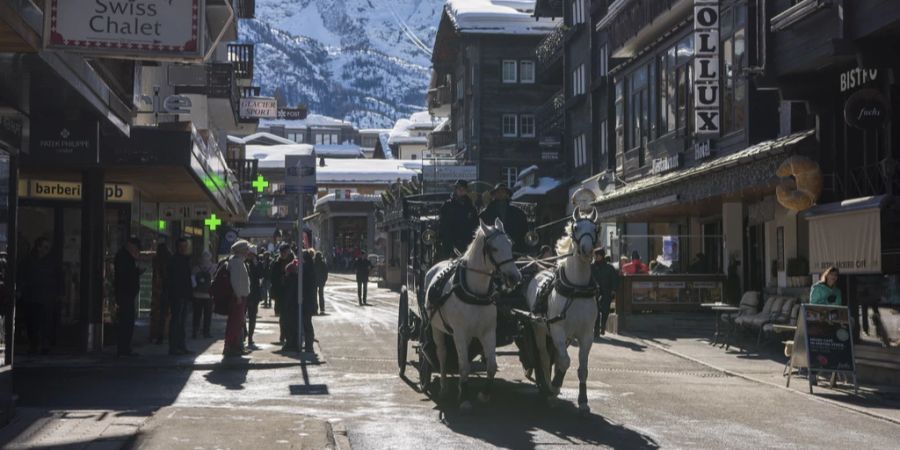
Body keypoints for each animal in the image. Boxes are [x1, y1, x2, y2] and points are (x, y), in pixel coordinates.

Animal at [426, 218, 524, 412]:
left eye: (510, 243)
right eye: (493, 248)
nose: (514, 277)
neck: (475, 292)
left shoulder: (488, 332)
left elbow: (491, 366)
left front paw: (484, 394)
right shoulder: (460, 332)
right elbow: (463, 367)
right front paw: (464, 399)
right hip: (436, 328)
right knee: (442, 354)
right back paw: (443, 387)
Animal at [528, 209, 596, 414]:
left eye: (595, 228)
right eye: (576, 227)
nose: (587, 250)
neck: (576, 289)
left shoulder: (586, 334)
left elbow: (582, 369)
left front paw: (583, 401)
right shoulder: (558, 329)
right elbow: (565, 361)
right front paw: (555, 386)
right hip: (539, 328)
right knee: (543, 355)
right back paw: (547, 385)